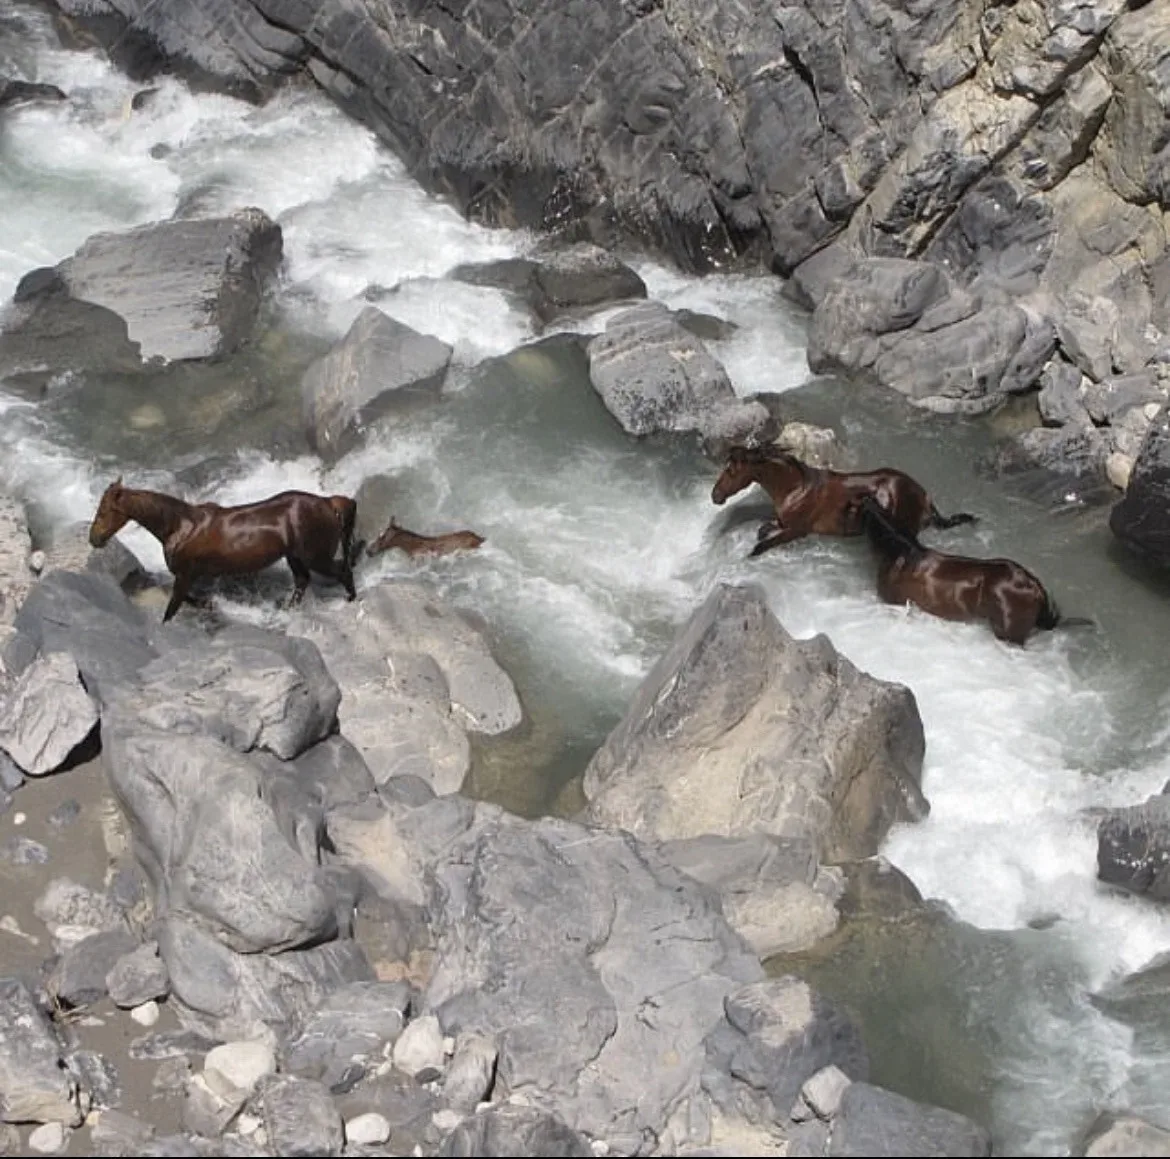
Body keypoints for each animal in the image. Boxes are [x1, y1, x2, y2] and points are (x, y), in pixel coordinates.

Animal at [88, 477, 359, 622]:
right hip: (295, 557)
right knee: (303, 581)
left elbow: (173, 606)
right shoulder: (188, 576)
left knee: (342, 572)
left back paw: (351, 600)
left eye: (104, 511)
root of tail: (327, 502)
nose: (94, 539)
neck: (180, 526)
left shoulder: (185, 574)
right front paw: (209, 604)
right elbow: (186, 599)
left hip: (315, 556)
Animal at [711, 446, 977, 557]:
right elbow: (763, 529)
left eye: (731, 470)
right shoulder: (783, 522)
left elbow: (761, 546)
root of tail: (924, 494)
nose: (715, 496)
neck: (796, 489)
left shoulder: (797, 530)